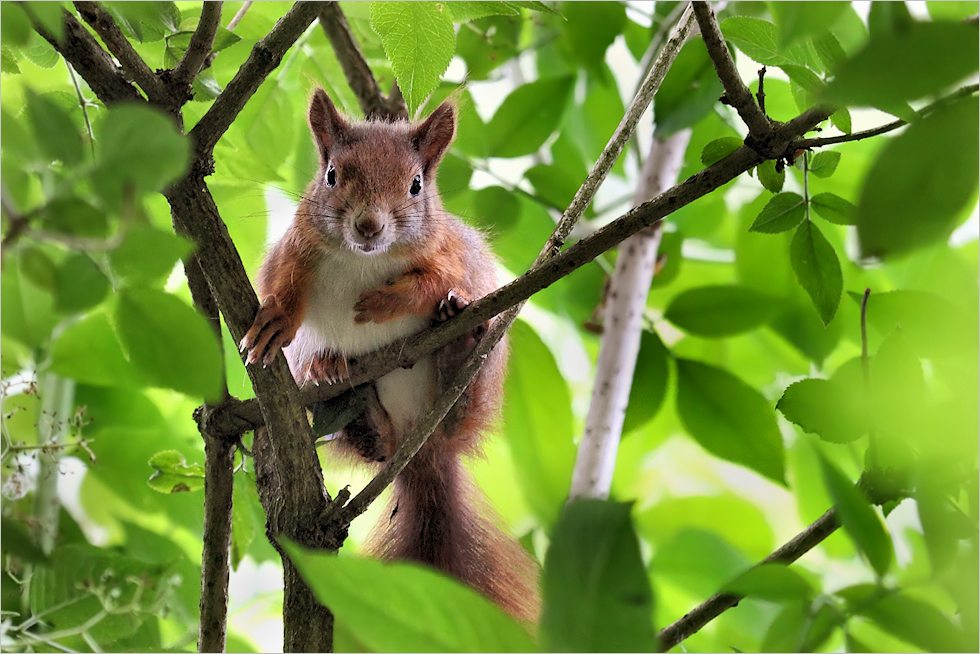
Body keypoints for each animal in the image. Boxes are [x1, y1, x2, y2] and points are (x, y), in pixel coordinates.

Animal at [240, 89, 540, 624]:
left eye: (417, 185)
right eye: (332, 174)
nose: (368, 225)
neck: (365, 260)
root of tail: (417, 444)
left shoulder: (450, 254)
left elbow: (434, 281)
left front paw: (385, 303)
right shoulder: (295, 248)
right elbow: (282, 285)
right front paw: (276, 320)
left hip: (480, 379)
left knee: (460, 409)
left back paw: (457, 349)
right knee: (371, 441)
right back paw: (345, 388)